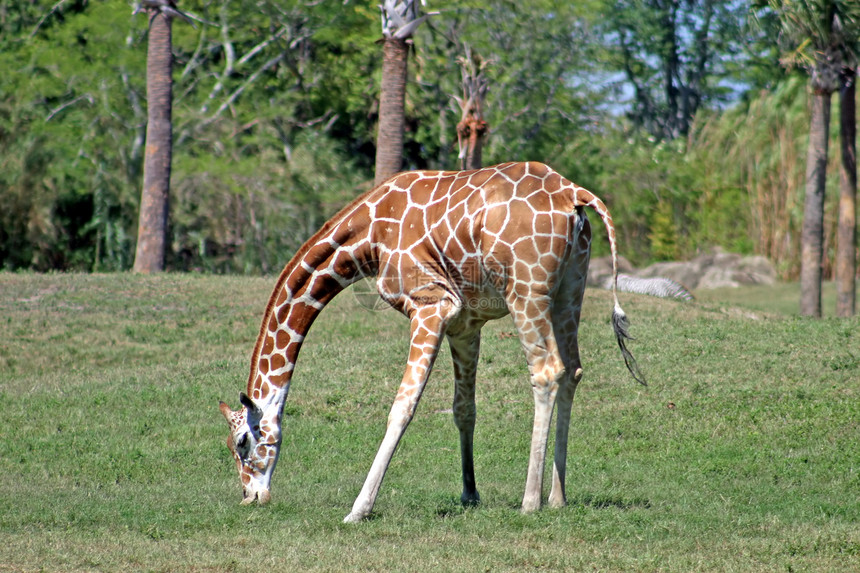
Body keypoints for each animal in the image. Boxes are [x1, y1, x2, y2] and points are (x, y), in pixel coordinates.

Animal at [218, 161, 640, 524]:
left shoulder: (430, 305)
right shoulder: (465, 325)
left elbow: (402, 408)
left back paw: (530, 501)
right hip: (571, 287)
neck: (369, 237)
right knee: (572, 371)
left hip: (527, 290)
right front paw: (470, 494)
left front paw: (359, 509)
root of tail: (575, 194)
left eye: (242, 442)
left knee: (548, 371)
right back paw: (557, 497)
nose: (251, 497)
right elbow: (464, 409)